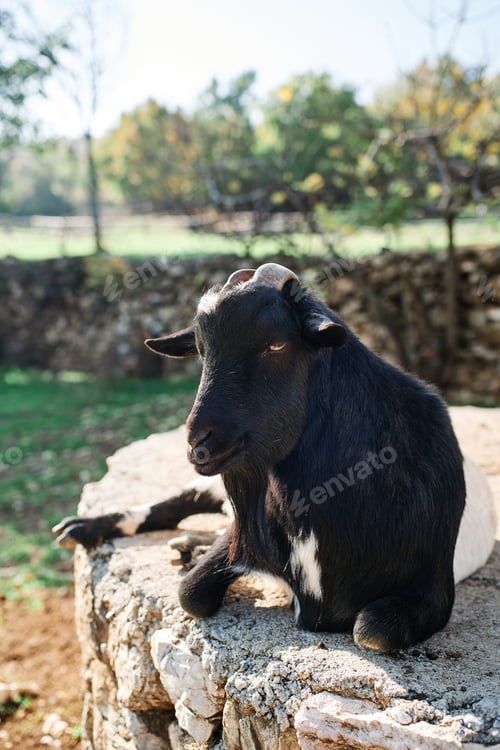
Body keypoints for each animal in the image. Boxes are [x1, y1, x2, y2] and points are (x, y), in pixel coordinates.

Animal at [55, 263, 494, 652]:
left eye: (277, 344)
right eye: (201, 351)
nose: (199, 442)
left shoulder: (433, 588)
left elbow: (372, 630)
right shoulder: (247, 531)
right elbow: (190, 593)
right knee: (179, 502)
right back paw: (82, 527)